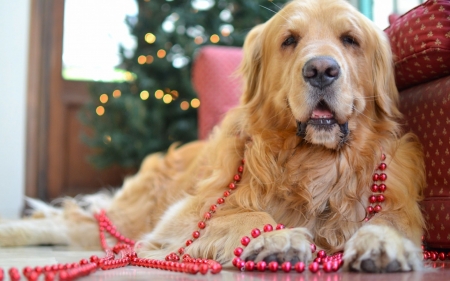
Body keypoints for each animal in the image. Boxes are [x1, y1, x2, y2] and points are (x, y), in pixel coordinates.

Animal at [0, 0, 426, 272]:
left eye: (350, 40)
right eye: (289, 40)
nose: (321, 70)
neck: (314, 164)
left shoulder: (395, 199)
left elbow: (389, 221)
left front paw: (381, 241)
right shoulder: (183, 217)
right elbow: (248, 214)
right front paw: (277, 237)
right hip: (135, 216)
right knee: (63, 224)